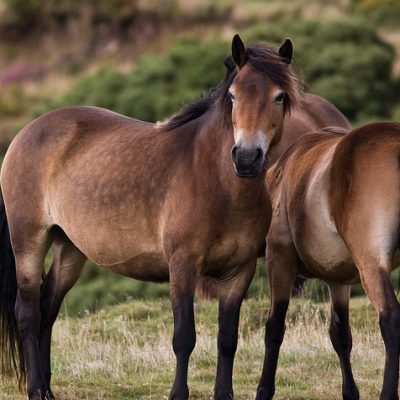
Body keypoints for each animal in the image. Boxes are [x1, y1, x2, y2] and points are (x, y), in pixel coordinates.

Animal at [0, 35, 298, 400]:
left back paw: (47, 387)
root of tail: (27, 132)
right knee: (28, 313)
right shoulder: (183, 266)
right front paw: (178, 394)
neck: (217, 182)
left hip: (69, 249)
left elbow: (227, 340)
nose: (245, 157)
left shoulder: (237, 273)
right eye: (233, 95)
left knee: (48, 310)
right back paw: (36, 389)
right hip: (29, 242)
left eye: (279, 96)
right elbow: (184, 338)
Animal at [256, 122, 400, 400]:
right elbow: (341, 334)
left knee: (390, 318)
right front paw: (350, 391)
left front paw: (264, 389)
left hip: (371, 266)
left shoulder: (279, 262)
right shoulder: (339, 280)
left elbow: (274, 327)